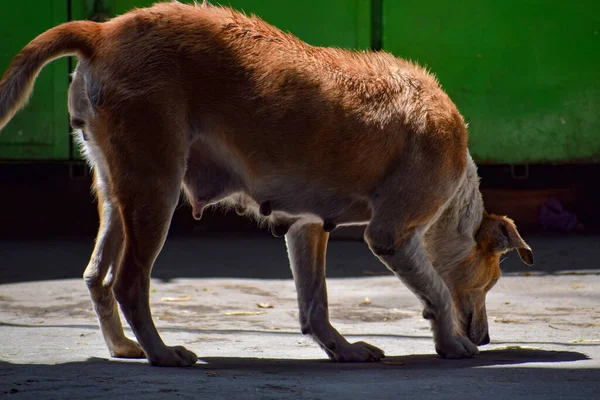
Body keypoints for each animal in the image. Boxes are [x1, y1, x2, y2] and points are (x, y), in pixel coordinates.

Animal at [0, 2, 536, 366]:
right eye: (490, 281)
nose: (487, 338)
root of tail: (104, 28)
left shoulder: (307, 229)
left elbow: (314, 304)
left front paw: (341, 348)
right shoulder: (392, 235)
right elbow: (438, 293)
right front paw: (452, 343)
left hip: (117, 193)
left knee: (97, 275)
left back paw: (123, 346)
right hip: (155, 189)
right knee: (130, 280)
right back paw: (162, 353)